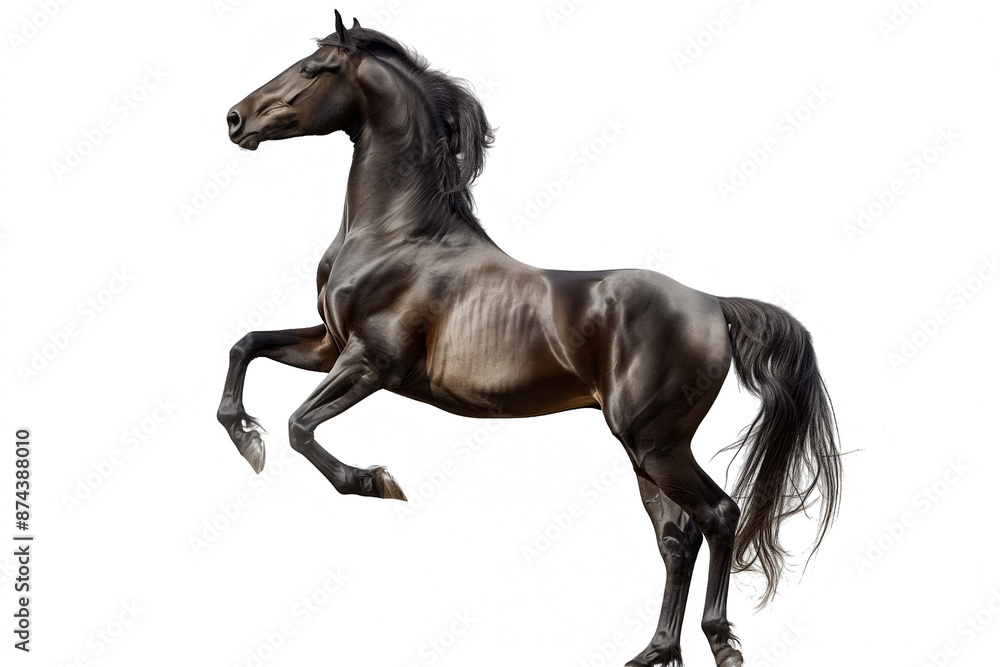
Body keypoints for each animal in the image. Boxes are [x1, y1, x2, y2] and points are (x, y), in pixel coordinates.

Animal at [218, 11, 842, 667]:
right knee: (677, 537)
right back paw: (652, 651)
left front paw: (374, 482)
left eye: (314, 69)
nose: (234, 119)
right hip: (647, 450)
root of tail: (714, 306)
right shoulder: (329, 348)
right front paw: (247, 439)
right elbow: (245, 345)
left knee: (719, 516)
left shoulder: (371, 363)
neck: (398, 235)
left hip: (655, 444)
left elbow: (299, 425)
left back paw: (720, 645)